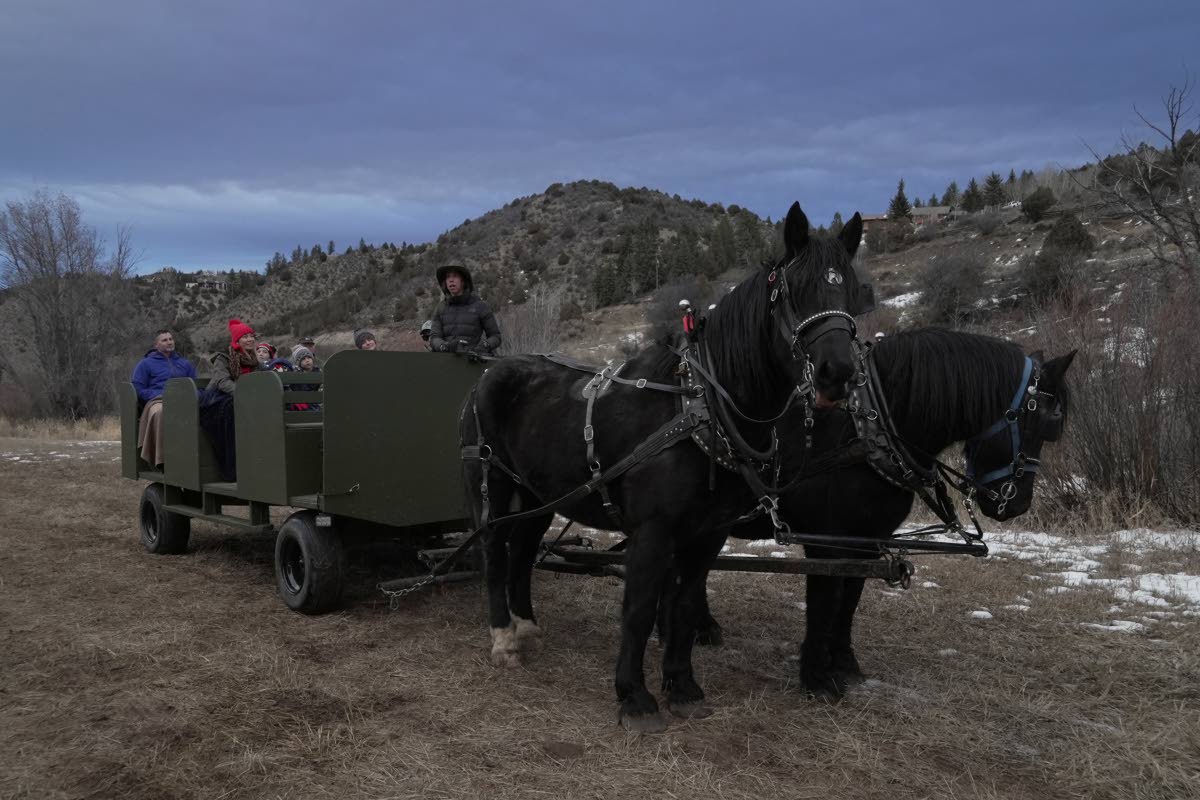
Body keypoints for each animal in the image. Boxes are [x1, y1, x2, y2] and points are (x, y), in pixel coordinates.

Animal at [461, 202, 871, 732]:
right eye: (795, 291)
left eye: (852, 291)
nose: (837, 374)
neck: (698, 405)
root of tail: (489, 374)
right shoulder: (653, 532)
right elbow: (638, 609)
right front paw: (634, 696)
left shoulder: (708, 532)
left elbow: (684, 605)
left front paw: (683, 686)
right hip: (490, 484)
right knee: (494, 552)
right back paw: (504, 639)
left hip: (537, 494)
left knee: (523, 551)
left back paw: (526, 625)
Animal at [703, 327, 1076, 698]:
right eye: (1045, 422)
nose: (1017, 504)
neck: (864, 433)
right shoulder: (828, 542)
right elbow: (825, 601)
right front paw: (816, 677)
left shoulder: (868, 540)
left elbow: (850, 600)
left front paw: (843, 662)